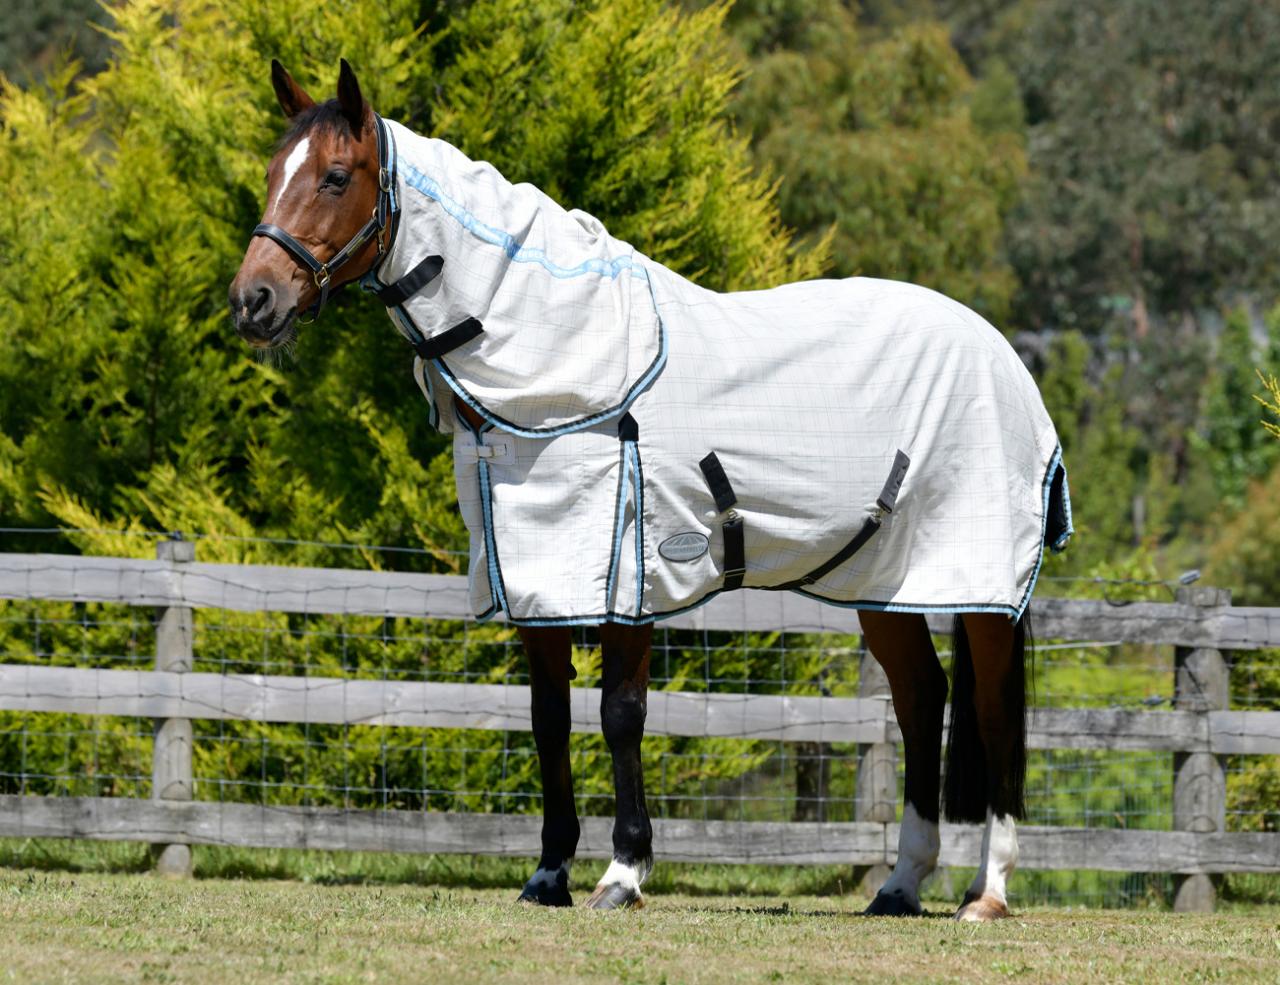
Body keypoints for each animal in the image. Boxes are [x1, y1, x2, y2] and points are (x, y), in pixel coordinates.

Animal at [230, 59, 1070, 921]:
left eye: (335, 176)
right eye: (272, 172)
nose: (253, 301)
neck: (559, 350)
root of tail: (1000, 350)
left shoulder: (625, 571)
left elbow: (620, 714)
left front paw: (623, 871)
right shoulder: (537, 573)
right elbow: (549, 719)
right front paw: (548, 875)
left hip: (979, 583)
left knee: (992, 709)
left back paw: (986, 892)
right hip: (884, 583)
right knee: (921, 697)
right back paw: (900, 885)